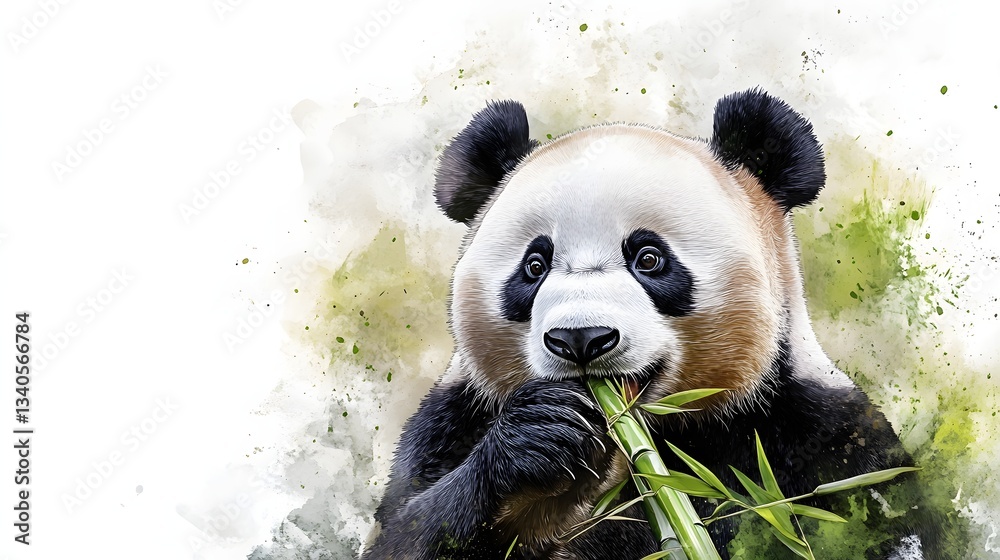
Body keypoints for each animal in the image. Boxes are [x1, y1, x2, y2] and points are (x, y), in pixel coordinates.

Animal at [363, 89, 933, 559]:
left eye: (649, 258)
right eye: (534, 265)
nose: (580, 339)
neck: (655, 440)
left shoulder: (823, 438)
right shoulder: (453, 420)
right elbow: (407, 531)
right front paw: (541, 437)